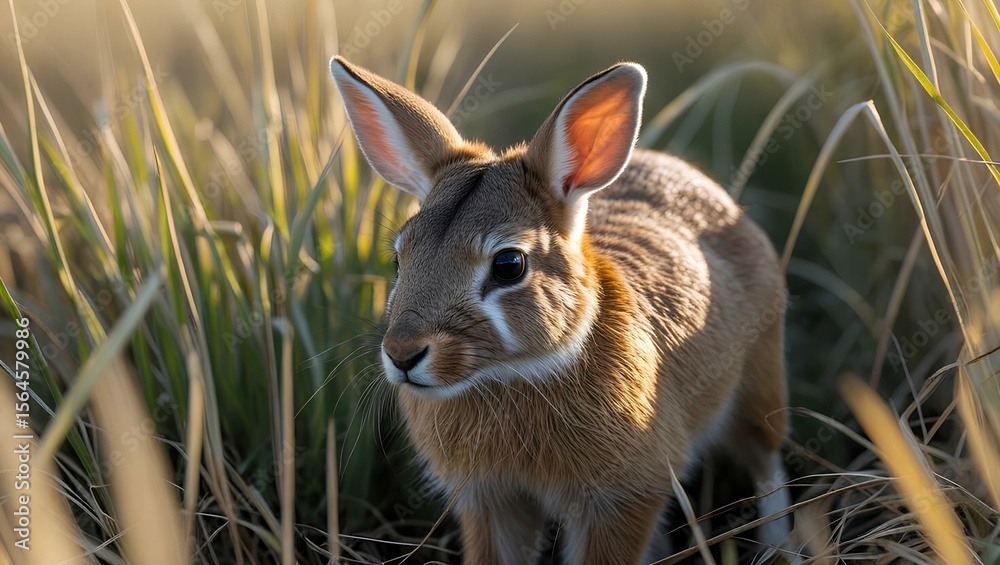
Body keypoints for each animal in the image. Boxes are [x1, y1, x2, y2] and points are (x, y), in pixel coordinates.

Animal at [330, 56, 793, 564]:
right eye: (399, 260)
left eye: (509, 265)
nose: (402, 354)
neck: (512, 374)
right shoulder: (490, 500)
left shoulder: (620, 498)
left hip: (759, 384)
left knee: (766, 461)